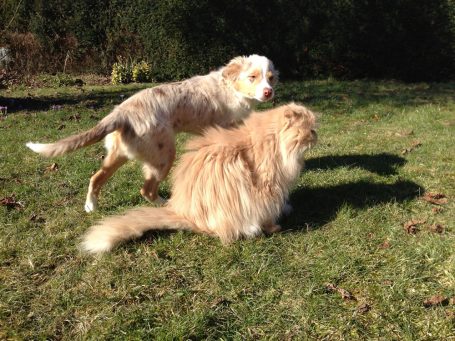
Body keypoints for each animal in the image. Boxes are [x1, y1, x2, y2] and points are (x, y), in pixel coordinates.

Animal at [28, 54, 280, 211]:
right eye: (252, 77)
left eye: (271, 78)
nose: (268, 93)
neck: (231, 87)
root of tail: (121, 113)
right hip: (162, 156)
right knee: (146, 190)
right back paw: (164, 204)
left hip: (119, 154)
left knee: (96, 177)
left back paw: (91, 205)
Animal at [82, 103, 318, 252]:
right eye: (309, 130)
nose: (316, 135)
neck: (273, 141)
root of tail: (185, 214)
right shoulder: (268, 186)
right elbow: (269, 212)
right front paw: (275, 224)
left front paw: (286, 209)